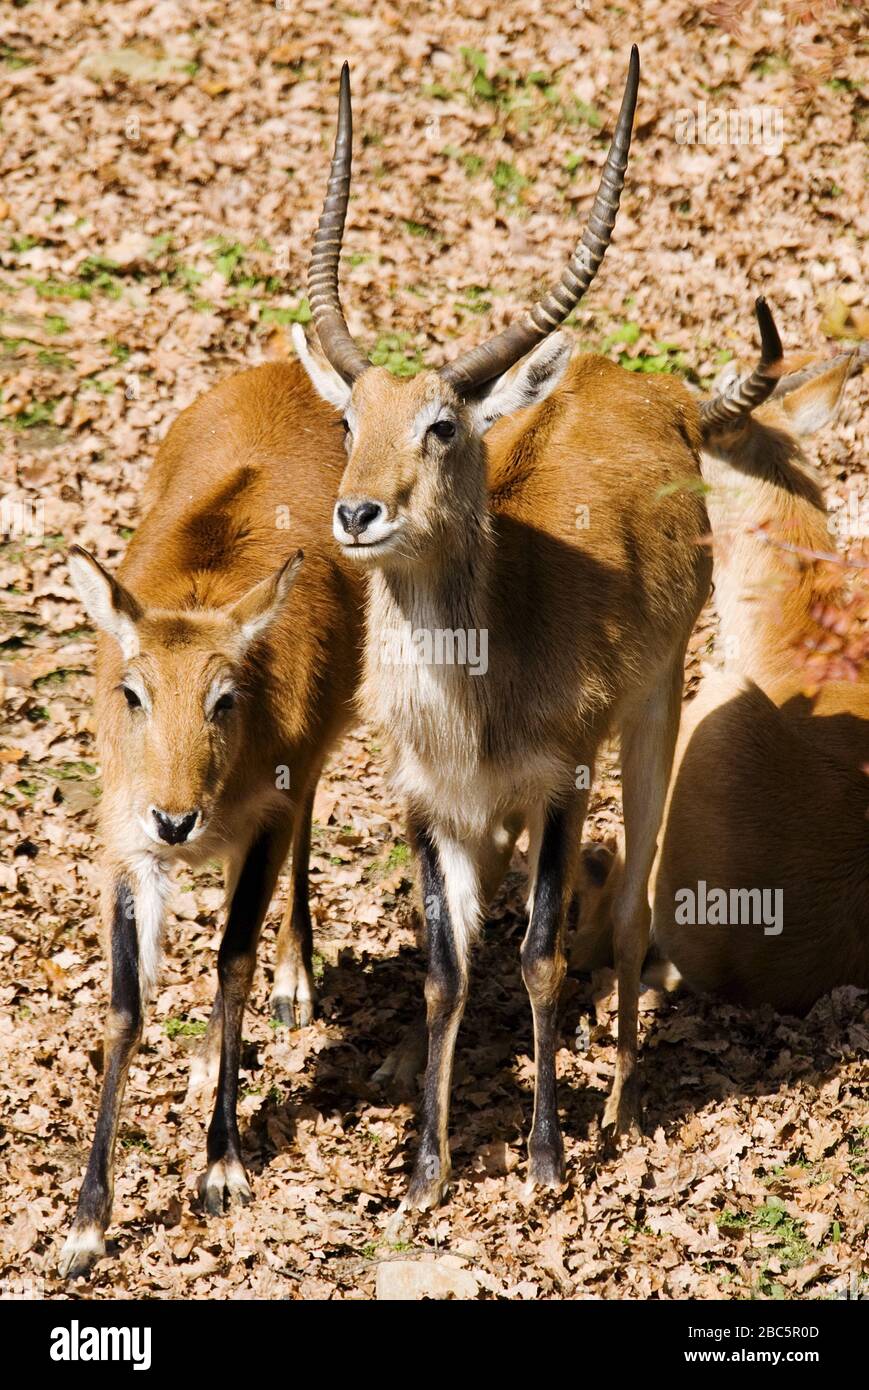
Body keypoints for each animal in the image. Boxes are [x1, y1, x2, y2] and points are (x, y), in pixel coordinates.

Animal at [57, 364, 361, 1273]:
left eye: (225, 696)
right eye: (132, 691)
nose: (175, 820)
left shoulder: (264, 814)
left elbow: (231, 965)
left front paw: (222, 1167)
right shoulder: (123, 845)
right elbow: (125, 1005)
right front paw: (85, 1226)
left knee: (300, 844)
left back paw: (296, 983)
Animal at [291, 54, 723, 1206]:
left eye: (442, 425)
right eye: (349, 419)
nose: (357, 514)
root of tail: (634, 383)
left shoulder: (562, 781)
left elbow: (537, 953)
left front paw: (542, 1158)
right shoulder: (428, 802)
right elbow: (445, 969)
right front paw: (425, 1168)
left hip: (653, 713)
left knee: (627, 908)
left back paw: (617, 1105)